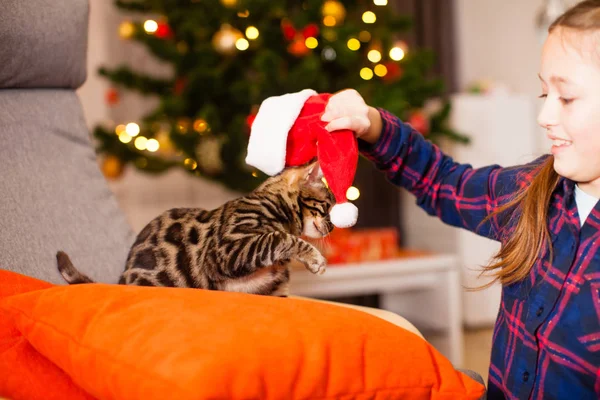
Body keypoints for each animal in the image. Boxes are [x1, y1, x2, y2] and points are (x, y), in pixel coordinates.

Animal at [56, 161, 336, 296]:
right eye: (329, 207)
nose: (333, 228)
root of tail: (121, 281)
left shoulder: (275, 290)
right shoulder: (227, 250)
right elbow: (278, 238)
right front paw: (315, 258)